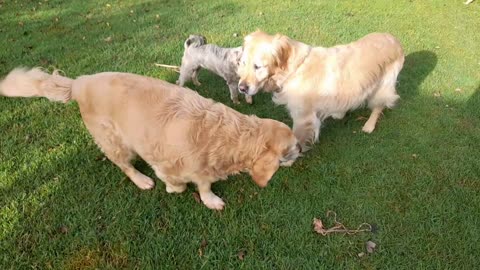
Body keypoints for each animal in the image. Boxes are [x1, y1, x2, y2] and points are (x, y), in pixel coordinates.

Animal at [0, 67, 300, 209]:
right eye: (290, 148)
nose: (302, 148)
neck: (226, 135)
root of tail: (78, 83)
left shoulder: (204, 168)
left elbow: (203, 184)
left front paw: (210, 199)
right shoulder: (165, 163)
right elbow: (179, 184)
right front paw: (172, 189)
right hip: (114, 141)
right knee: (124, 165)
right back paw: (142, 180)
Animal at [238, 31, 404, 152]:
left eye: (258, 66)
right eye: (243, 63)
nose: (241, 88)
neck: (295, 68)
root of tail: (394, 39)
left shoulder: (303, 117)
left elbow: (296, 137)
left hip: (384, 85)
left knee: (379, 106)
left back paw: (369, 125)